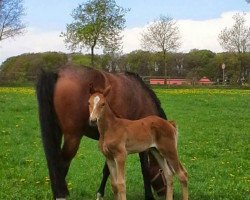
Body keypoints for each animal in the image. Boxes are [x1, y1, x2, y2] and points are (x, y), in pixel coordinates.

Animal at [36, 65, 167, 199]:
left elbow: (107, 170)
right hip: (72, 137)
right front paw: (149, 196)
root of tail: (58, 73)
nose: (164, 193)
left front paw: (100, 193)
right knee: (61, 165)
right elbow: (144, 169)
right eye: (163, 171)